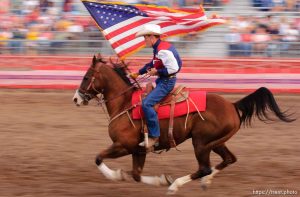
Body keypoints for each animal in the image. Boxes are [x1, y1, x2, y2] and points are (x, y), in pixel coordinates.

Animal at [72, 55, 296, 194]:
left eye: (86, 77)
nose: (76, 99)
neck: (125, 104)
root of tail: (232, 105)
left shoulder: (124, 146)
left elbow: (98, 158)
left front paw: (115, 175)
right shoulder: (138, 150)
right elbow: (136, 175)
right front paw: (160, 180)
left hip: (201, 143)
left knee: (204, 167)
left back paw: (176, 186)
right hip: (216, 143)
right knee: (228, 159)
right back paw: (205, 182)